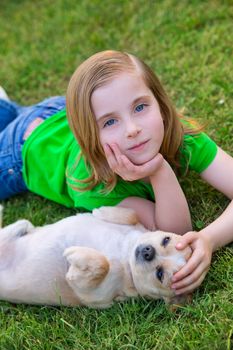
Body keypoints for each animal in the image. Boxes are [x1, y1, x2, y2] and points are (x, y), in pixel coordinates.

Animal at [0, 205, 191, 308]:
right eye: (166, 240)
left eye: (160, 274)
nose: (148, 251)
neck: (126, 255)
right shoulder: (137, 226)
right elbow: (132, 214)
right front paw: (102, 211)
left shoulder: (94, 295)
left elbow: (102, 264)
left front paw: (73, 256)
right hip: (18, 226)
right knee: (24, 224)